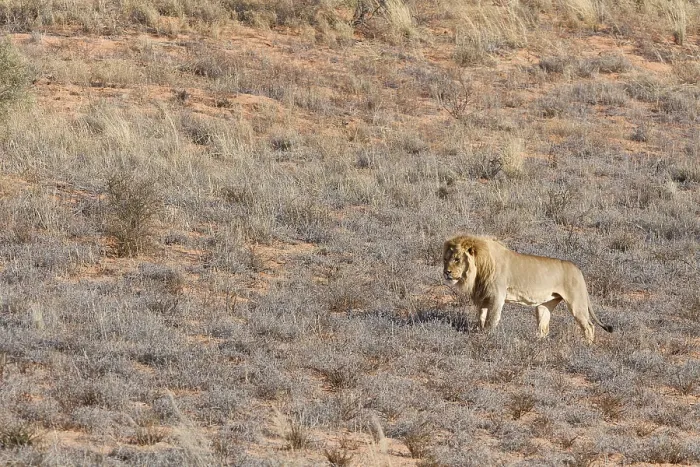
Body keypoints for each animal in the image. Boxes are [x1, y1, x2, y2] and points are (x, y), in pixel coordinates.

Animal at [443, 234, 613, 343]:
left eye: (457, 259)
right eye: (445, 259)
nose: (446, 272)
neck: (479, 268)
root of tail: (577, 269)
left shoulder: (497, 296)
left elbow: (492, 320)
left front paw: (487, 337)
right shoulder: (482, 298)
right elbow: (482, 318)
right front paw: (479, 333)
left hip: (576, 303)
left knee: (589, 326)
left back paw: (587, 347)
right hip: (545, 305)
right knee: (544, 328)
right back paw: (537, 343)